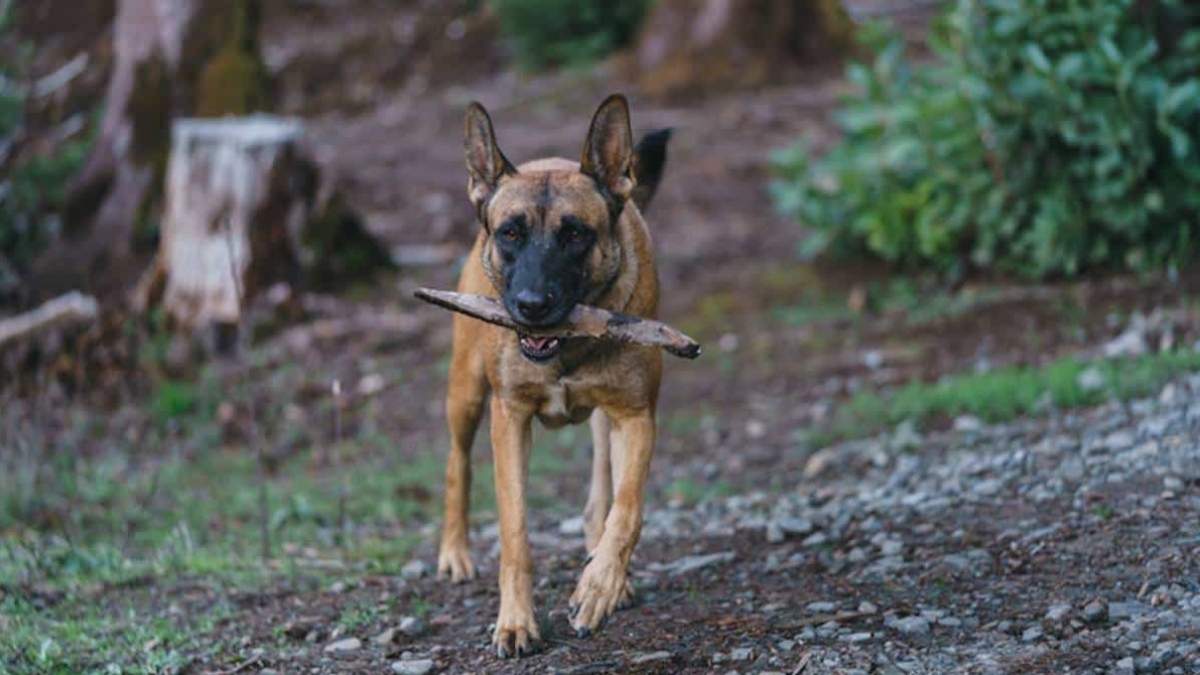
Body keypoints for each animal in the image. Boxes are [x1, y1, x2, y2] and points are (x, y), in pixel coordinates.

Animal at [436, 91, 672, 653]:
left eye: (575, 235)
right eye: (510, 233)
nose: (531, 306)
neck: (566, 345)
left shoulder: (635, 416)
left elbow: (626, 508)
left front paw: (600, 586)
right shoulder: (509, 419)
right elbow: (515, 532)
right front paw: (516, 622)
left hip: (605, 420)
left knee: (600, 499)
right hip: (466, 392)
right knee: (457, 462)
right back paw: (454, 552)